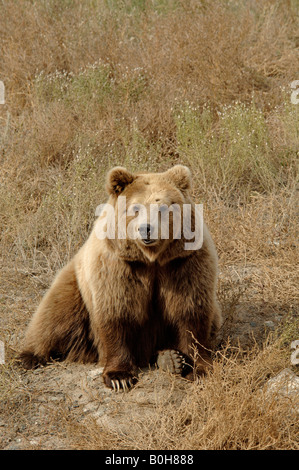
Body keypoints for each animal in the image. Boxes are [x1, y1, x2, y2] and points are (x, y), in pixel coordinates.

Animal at [19, 163, 223, 392]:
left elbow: (191, 312)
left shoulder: (183, 262)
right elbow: (117, 314)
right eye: (135, 208)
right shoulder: (118, 266)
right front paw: (119, 377)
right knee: (55, 315)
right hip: (76, 287)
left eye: (162, 208)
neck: (151, 259)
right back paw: (29, 356)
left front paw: (199, 368)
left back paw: (170, 358)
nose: (146, 229)